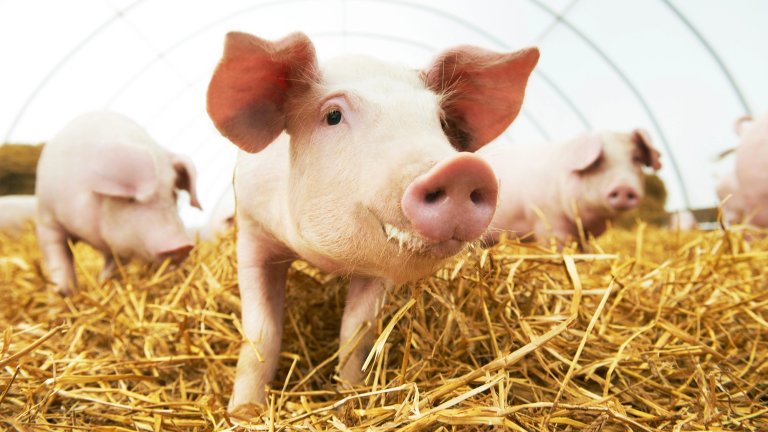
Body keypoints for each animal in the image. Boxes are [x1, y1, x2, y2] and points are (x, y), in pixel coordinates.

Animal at [35, 111, 202, 295]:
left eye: (173, 194)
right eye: (131, 199)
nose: (183, 246)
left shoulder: (123, 245)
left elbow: (115, 265)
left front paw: (104, 284)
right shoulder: (47, 219)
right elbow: (58, 258)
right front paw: (62, 292)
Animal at [206, 31, 539, 411]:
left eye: (440, 121)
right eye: (333, 115)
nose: (462, 169)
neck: (326, 260)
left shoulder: (379, 270)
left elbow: (356, 333)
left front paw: (350, 398)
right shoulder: (251, 231)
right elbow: (261, 332)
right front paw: (244, 413)